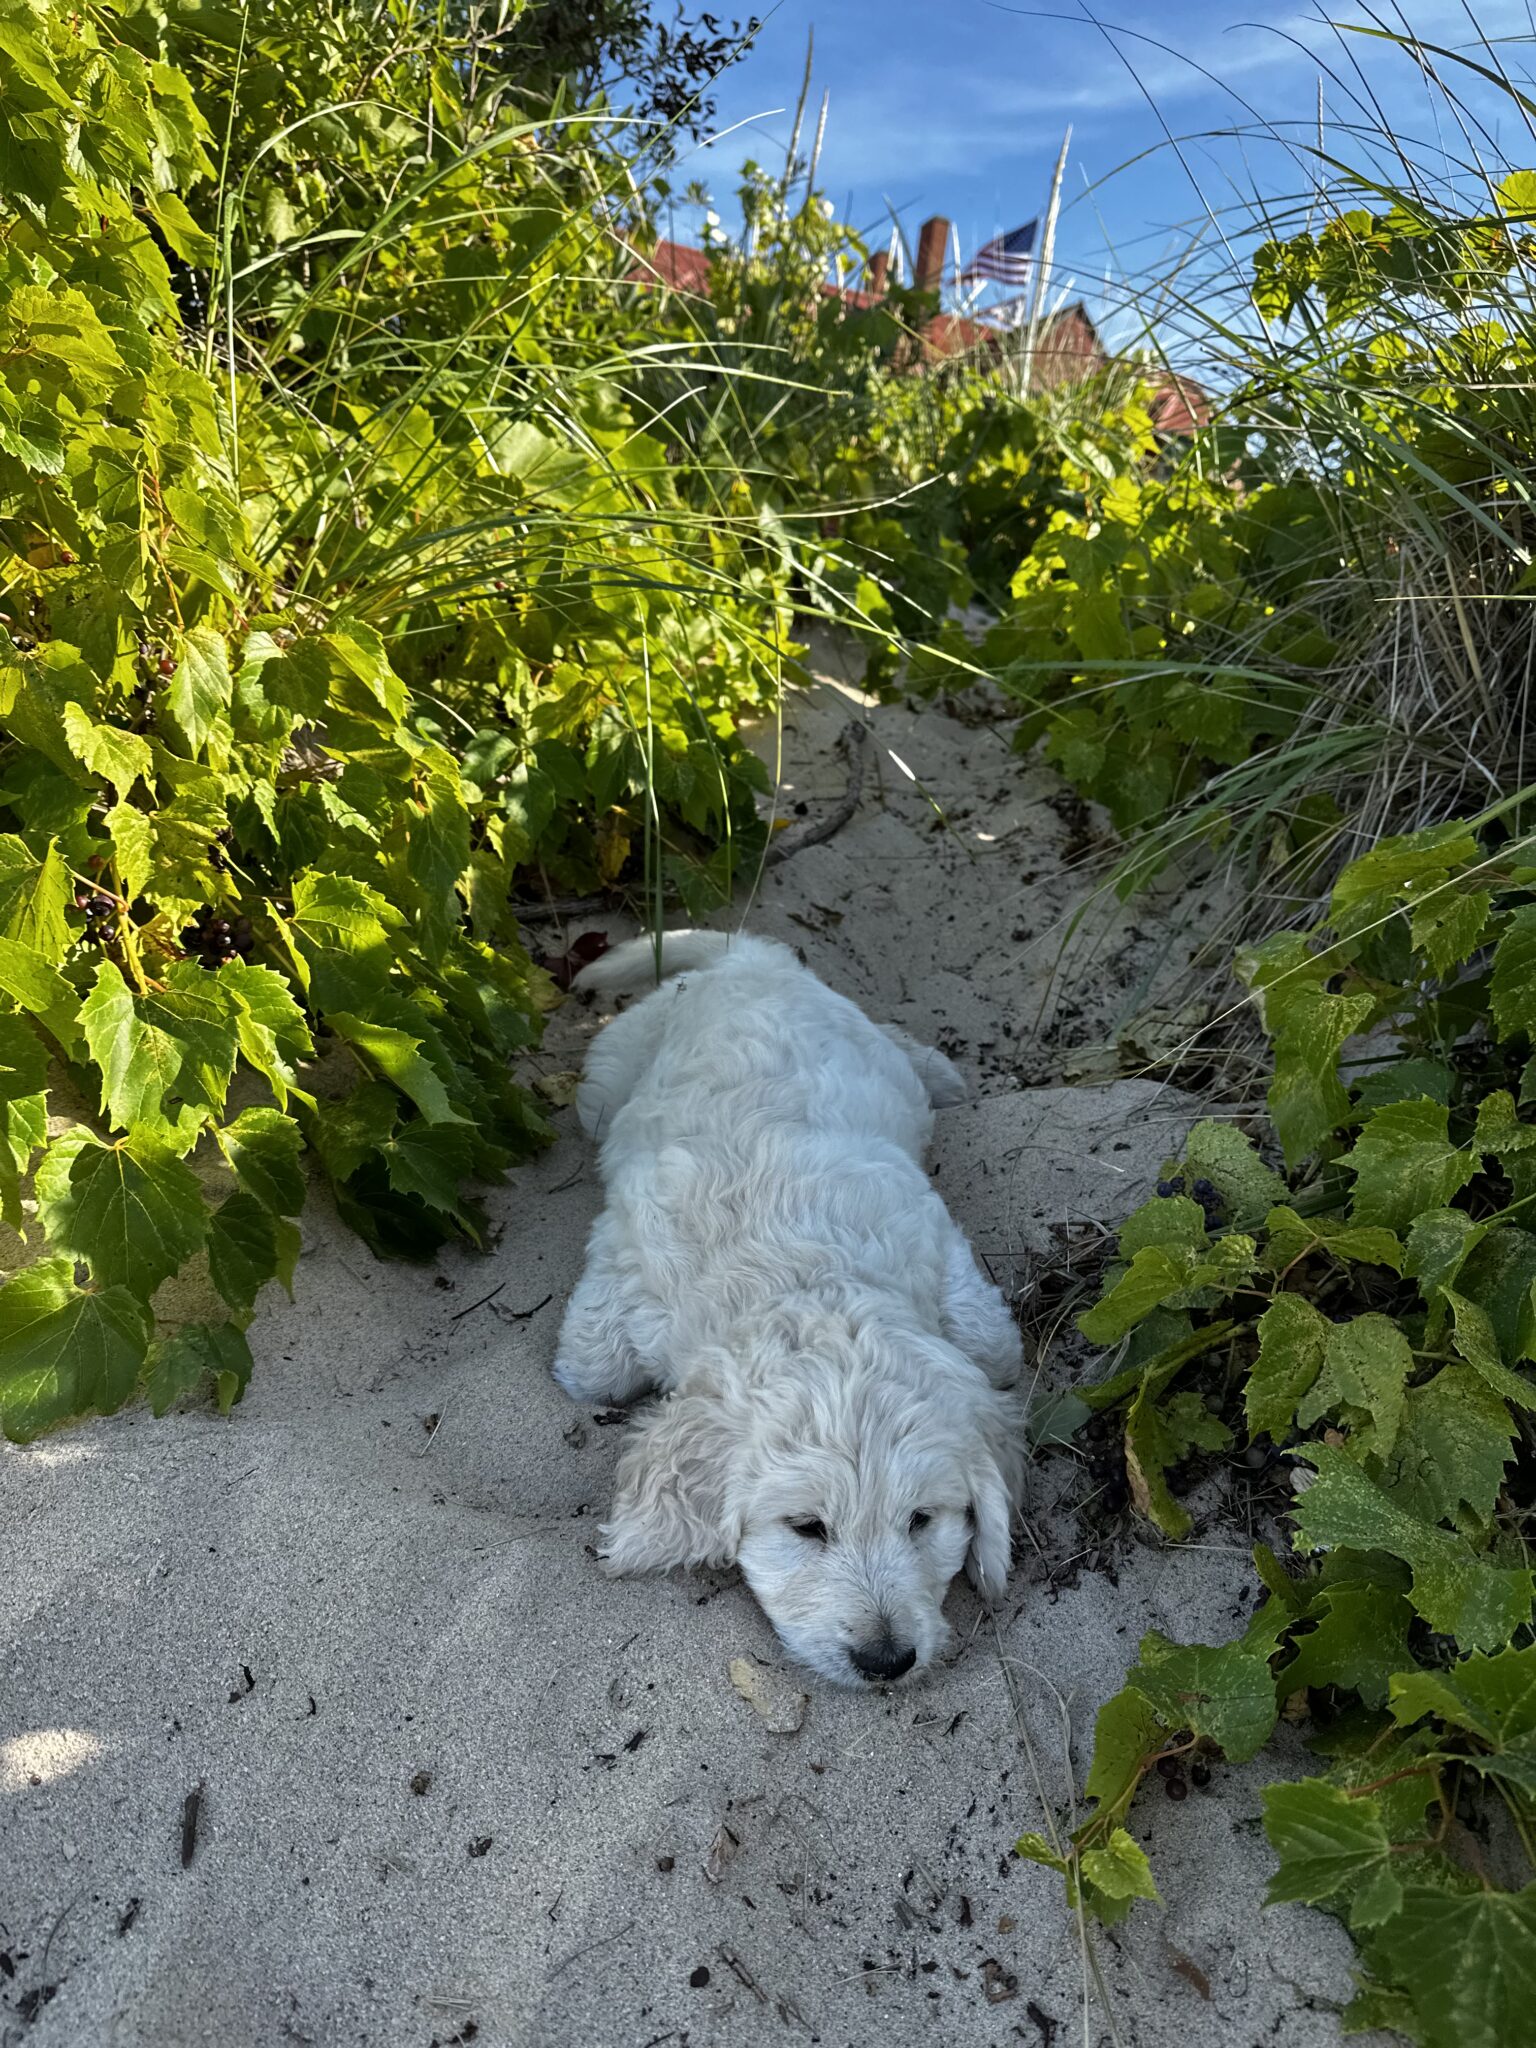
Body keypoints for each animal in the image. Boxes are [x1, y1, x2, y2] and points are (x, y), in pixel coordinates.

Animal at [552, 931, 1025, 1686]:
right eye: (806, 1527)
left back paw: (937, 1071)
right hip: (607, 1074)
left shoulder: (935, 1247)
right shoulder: (626, 1270)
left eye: (923, 1519)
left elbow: (994, 1345)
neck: (806, 1280)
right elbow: (590, 1368)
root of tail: (751, 958)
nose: (886, 1661)